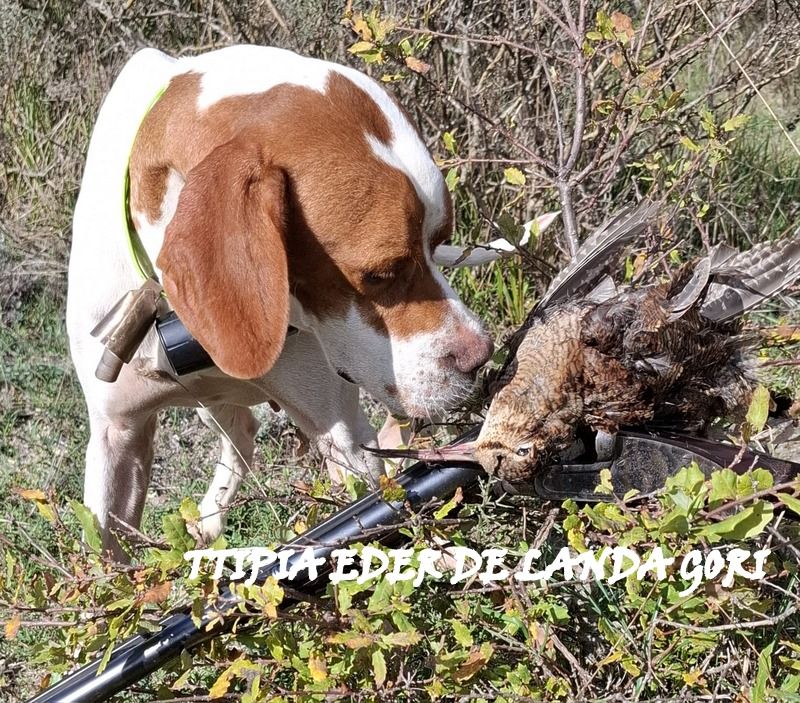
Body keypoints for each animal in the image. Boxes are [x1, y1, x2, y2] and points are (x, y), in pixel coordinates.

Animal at [67, 45, 494, 560]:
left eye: (439, 241)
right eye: (381, 274)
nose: (481, 356)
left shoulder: (343, 438)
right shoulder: (117, 434)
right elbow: (107, 562)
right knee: (242, 432)